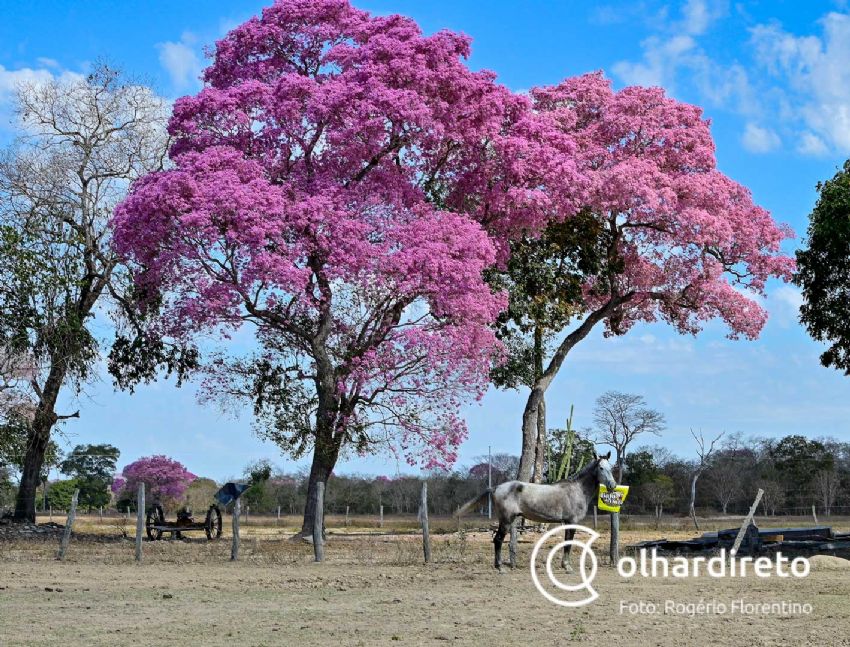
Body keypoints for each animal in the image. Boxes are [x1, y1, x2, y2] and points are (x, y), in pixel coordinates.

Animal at [458, 450, 616, 572]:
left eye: (611, 467)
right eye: (601, 468)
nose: (612, 485)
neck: (577, 490)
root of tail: (496, 487)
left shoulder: (566, 522)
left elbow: (566, 542)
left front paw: (565, 565)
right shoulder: (572, 521)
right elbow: (568, 543)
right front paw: (567, 567)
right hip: (506, 520)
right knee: (498, 540)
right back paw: (500, 568)